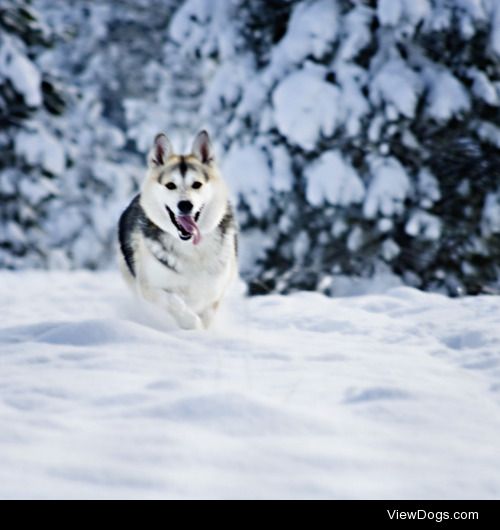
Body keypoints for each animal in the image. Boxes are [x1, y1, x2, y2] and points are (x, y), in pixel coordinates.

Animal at [119, 128, 240, 328]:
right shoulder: (148, 288)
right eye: (170, 185)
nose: (185, 205)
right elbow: (173, 301)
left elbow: (207, 312)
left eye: (196, 184)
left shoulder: (215, 292)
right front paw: (191, 323)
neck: (191, 248)